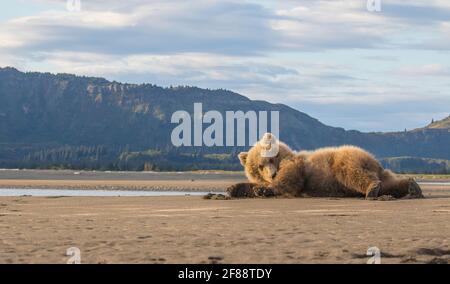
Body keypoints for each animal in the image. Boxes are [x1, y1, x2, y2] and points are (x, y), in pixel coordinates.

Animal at [227, 133, 424, 200]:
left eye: (271, 158)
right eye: (259, 166)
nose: (273, 174)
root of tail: (373, 159)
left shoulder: (298, 166)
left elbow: (290, 179)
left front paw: (265, 190)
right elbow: (251, 185)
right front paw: (232, 188)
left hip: (344, 161)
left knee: (353, 174)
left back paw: (371, 189)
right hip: (377, 170)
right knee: (389, 183)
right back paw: (411, 186)